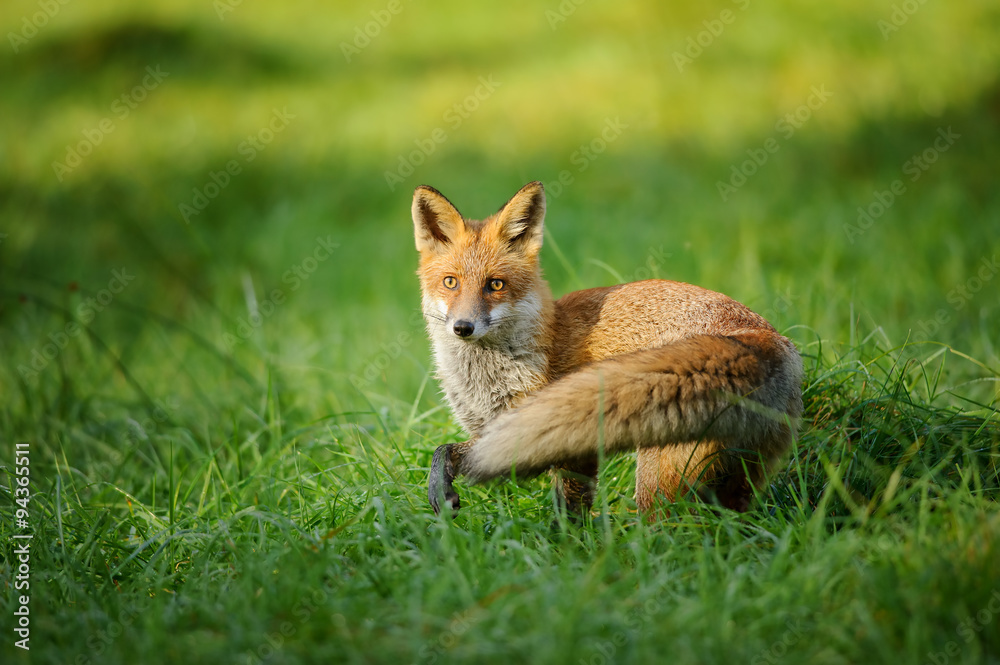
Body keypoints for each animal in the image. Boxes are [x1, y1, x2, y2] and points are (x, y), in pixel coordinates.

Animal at [414, 181, 803, 516]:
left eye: (495, 285)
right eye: (451, 282)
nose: (463, 327)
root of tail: (762, 339)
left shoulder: (565, 447)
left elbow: (568, 511)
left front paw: (565, 547)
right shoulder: (500, 435)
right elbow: (445, 449)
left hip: (657, 481)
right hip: (736, 483)